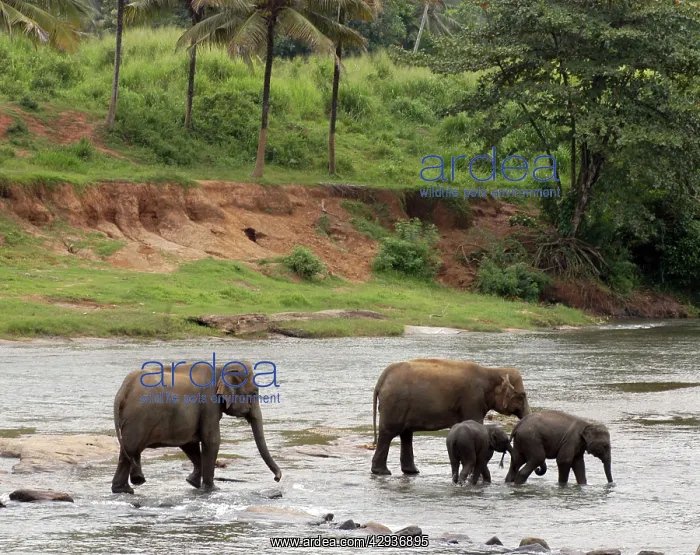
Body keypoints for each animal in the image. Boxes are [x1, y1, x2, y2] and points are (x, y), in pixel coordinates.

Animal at [111, 360, 282, 494]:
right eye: (254, 393)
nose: (277, 478)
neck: (220, 368)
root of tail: (124, 389)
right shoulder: (209, 403)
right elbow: (211, 440)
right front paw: (212, 489)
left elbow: (189, 443)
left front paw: (192, 482)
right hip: (138, 419)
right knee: (131, 448)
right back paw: (127, 488)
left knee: (128, 451)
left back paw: (126, 487)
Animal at [371, 358, 531, 476]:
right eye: (521, 397)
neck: (492, 371)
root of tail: (382, 379)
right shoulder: (472, 399)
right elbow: (475, 422)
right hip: (395, 404)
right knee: (389, 433)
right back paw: (382, 472)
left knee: (406, 434)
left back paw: (412, 472)